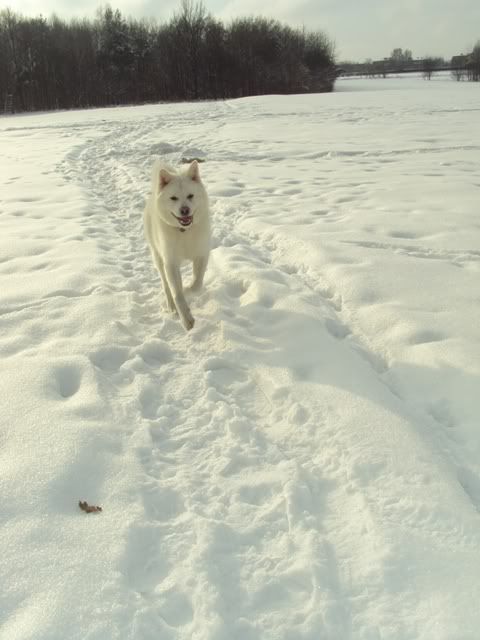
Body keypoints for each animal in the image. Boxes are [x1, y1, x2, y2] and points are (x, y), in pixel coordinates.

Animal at [144, 159, 211, 330]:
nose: (185, 210)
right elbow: (176, 293)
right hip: (158, 257)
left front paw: (187, 289)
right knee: (166, 284)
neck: (184, 232)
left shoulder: (201, 254)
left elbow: (196, 284)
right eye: (173, 198)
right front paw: (186, 319)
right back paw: (171, 306)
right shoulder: (171, 262)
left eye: (190, 196)